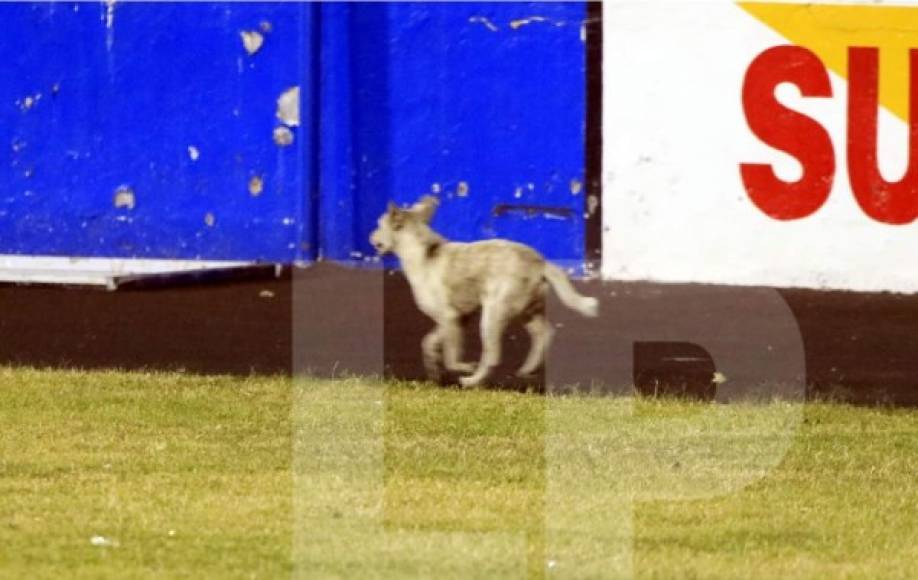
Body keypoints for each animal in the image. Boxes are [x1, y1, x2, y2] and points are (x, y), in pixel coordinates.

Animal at [370, 197, 600, 388]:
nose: (370, 236)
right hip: (526, 313)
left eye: (378, 225)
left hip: (492, 316)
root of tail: (540, 263)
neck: (424, 253)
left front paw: (463, 367)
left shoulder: (450, 318)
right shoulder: (456, 320)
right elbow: (428, 342)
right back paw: (528, 369)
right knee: (544, 333)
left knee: (492, 356)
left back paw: (473, 380)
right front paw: (433, 371)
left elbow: (451, 357)